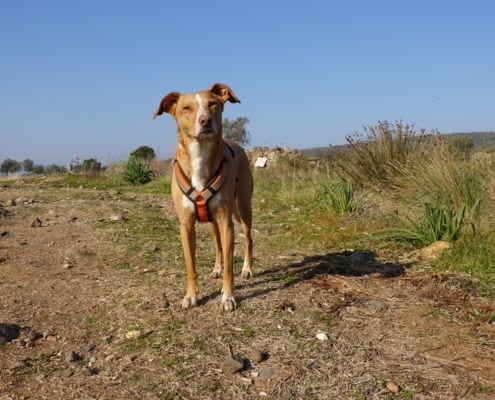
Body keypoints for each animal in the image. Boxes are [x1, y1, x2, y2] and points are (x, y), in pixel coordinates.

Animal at [153, 83, 254, 310]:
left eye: (213, 104)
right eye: (186, 108)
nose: (205, 120)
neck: (200, 154)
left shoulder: (226, 221)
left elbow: (230, 267)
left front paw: (227, 297)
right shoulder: (186, 225)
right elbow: (191, 265)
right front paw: (191, 296)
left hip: (243, 208)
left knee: (248, 238)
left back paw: (247, 269)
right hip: (211, 223)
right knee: (217, 244)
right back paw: (216, 268)